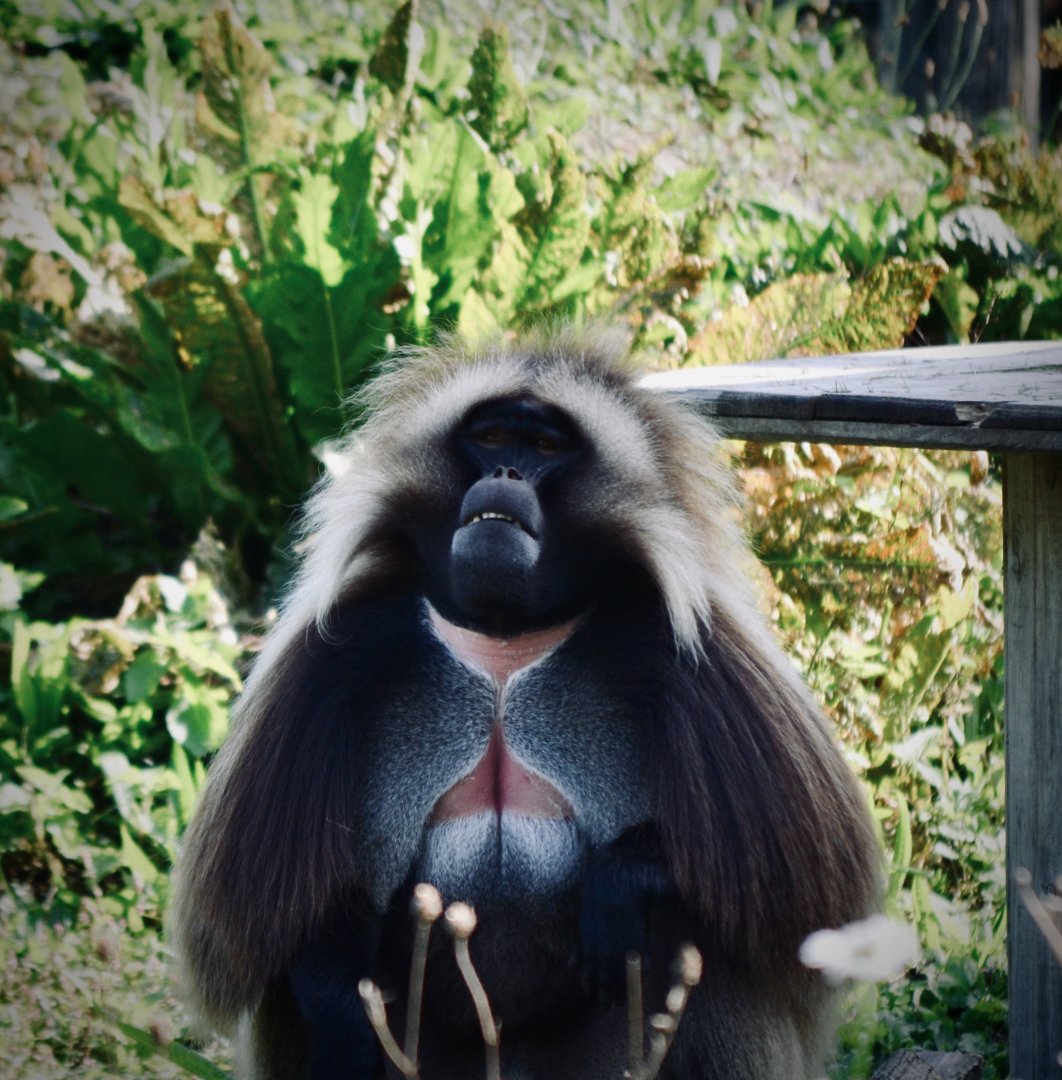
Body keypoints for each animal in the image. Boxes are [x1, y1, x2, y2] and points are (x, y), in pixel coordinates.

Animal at [170, 326, 881, 1080]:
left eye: (543, 447)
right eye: (491, 437)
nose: (507, 475)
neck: (503, 647)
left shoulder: (689, 655)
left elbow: (804, 899)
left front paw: (622, 883)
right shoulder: (331, 663)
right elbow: (261, 938)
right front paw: (341, 1022)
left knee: (719, 950)